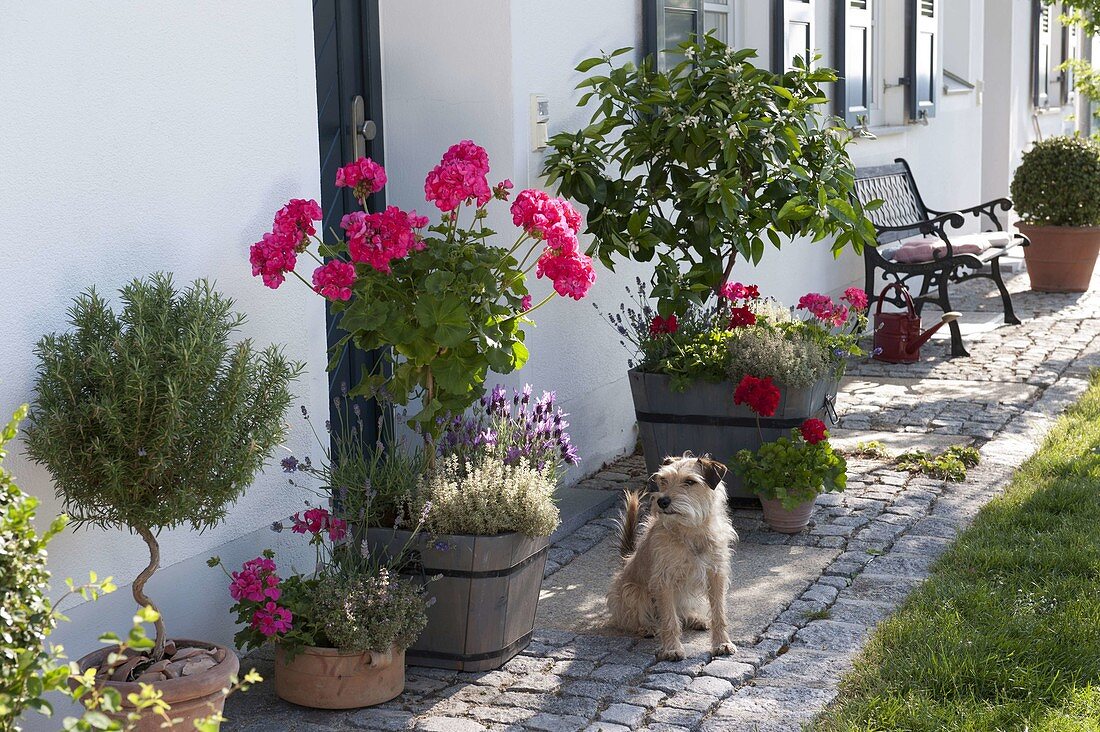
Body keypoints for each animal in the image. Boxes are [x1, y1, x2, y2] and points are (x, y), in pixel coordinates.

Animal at [607, 453, 734, 660]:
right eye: (663, 480)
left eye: (689, 481)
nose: (662, 501)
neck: (691, 531)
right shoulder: (663, 581)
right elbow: (669, 620)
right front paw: (672, 649)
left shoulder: (716, 575)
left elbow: (719, 613)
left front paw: (722, 643)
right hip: (631, 591)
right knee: (633, 617)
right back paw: (646, 627)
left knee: (683, 612)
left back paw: (696, 619)